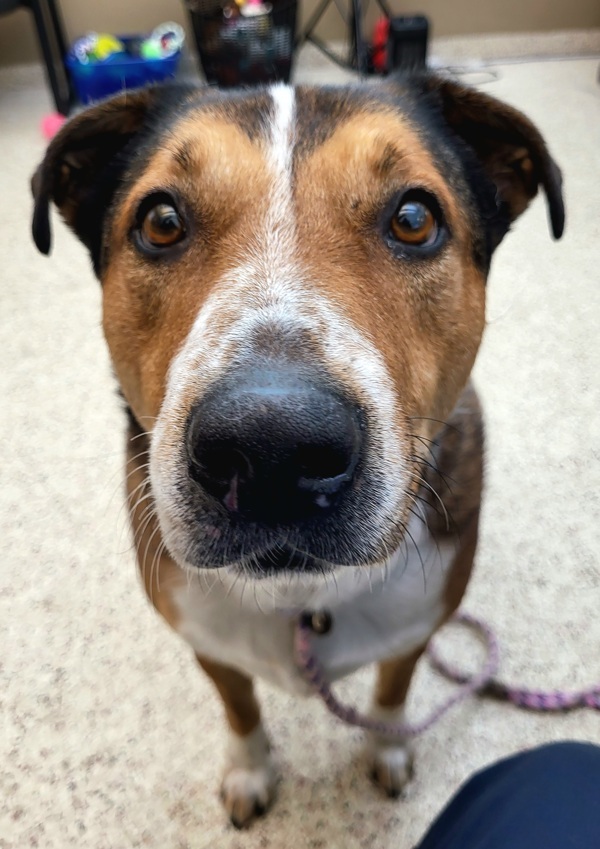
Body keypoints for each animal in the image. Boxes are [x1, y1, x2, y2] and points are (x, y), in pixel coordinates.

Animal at [30, 73, 564, 828]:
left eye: (414, 218)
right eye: (161, 221)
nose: (271, 447)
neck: (300, 592)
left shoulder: (416, 627)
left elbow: (393, 692)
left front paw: (387, 749)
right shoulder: (208, 643)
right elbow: (239, 706)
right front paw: (250, 769)